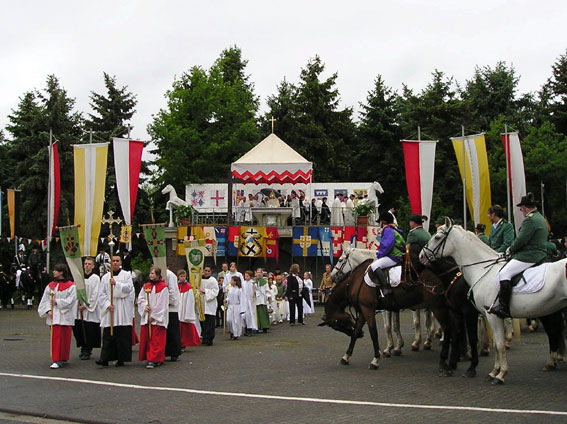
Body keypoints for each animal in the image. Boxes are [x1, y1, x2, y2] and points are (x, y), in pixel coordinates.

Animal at [422, 219, 567, 384]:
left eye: (437, 237)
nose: (421, 255)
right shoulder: (478, 314)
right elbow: (495, 344)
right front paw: (493, 372)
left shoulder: (487, 314)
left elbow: (497, 343)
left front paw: (499, 374)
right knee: (554, 331)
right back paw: (552, 361)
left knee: (554, 331)